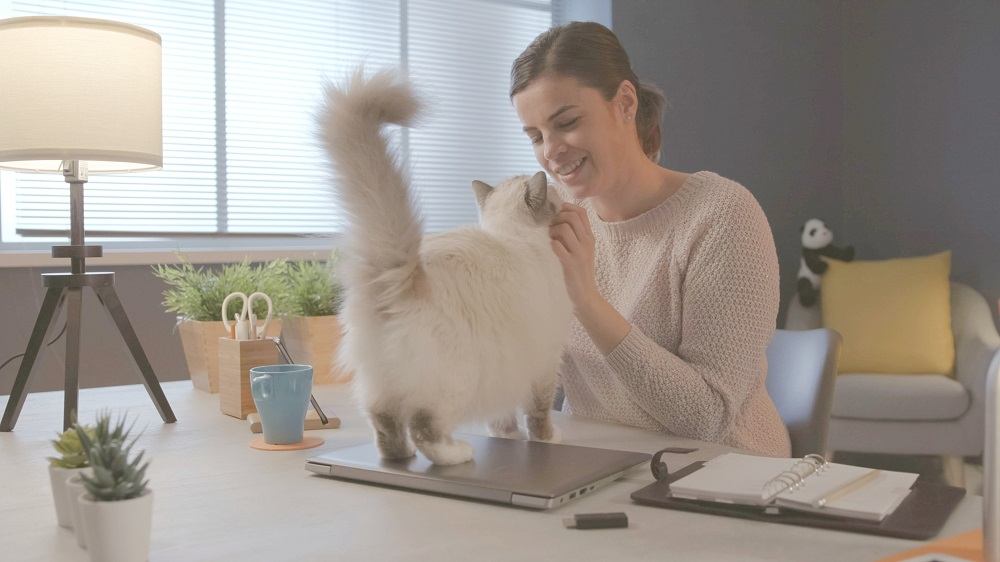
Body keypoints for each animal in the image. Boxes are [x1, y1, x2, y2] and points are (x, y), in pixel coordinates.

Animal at [316, 68, 576, 464]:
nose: (564, 196)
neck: (512, 234)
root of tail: (401, 276)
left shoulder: (514, 370)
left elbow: (504, 418)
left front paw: (506, 438)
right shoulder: (544, 363)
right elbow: (539, 413)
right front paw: (547, 440)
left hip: (382, 388)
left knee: (386, 427)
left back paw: (401, 457)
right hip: (456, 382)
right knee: (424, 427)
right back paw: (457, 453)